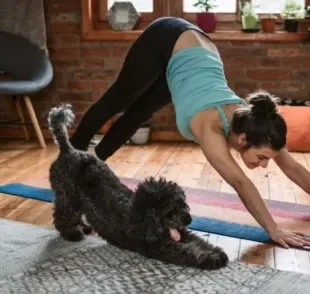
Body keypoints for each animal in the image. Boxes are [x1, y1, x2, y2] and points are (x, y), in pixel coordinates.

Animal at [47, 104, 228, 270]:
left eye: (182, 203)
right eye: (170, 210)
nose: (189, 219)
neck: (140, 215)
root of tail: (67, 150)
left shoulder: (181, 233)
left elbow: (198, 241)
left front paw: (216, 252)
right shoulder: (158, 247)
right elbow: (188, 252)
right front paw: (210, 259)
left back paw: (83, 227)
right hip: (67, 195)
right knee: (61, 216)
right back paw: (71, 233)